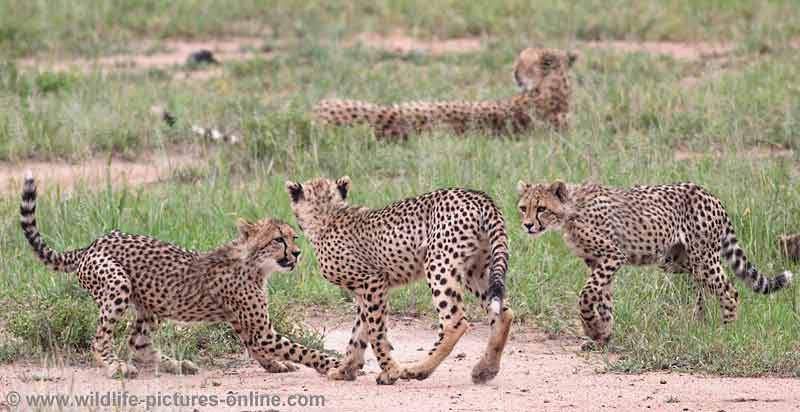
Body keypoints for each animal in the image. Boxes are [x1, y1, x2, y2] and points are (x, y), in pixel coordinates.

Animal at [18, 172, 338, 378]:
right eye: (278, 240)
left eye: (294, 237)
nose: (297, 253)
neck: (255, 264)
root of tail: (94, 242)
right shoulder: (261, 330)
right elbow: (301, 349)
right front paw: (333, 364)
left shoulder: (245, 325)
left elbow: (261, 350)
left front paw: (276, 366)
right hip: (117, 284)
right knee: (101, 339)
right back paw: (116, 366)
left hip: (154, 303)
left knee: (138, 343)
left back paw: (176, 365)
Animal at [286, 176, 512, 384]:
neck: (328, 214)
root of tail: (477, 195)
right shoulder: (363, 292)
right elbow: (358, 334)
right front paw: (345, 370)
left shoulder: (374, 281)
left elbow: (375, 332)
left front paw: (390, 371)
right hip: (476, 270)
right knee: (503, 313)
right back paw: (485, 369)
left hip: (439, 264)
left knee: (454, 323)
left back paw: (417, 369)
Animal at [516, 182, 792, 346]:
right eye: (523, 208)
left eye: (541, 208)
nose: (527, 225)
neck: (570, 211)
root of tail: (709, 194)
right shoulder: (598, 262)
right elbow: (603, 298)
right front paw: (602, 335)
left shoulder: (613, 255)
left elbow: (586, 294)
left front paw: (593, 329)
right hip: (676, 260)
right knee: (703, 285)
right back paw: (699, 321)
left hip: (703, 258)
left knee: (729, 290)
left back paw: (726, 332)